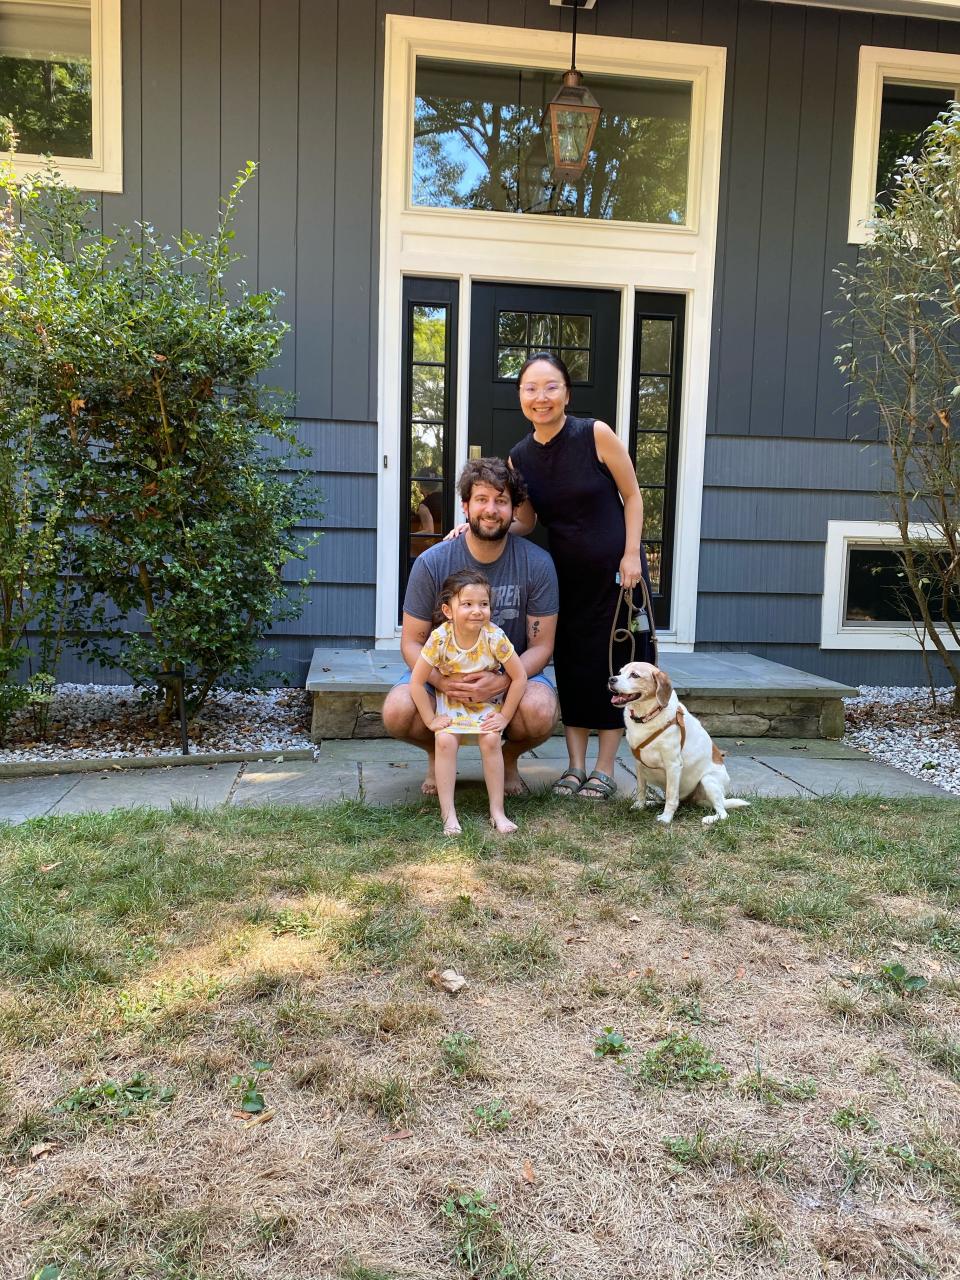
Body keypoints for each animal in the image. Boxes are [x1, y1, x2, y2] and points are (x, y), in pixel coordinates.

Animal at [609, 660, 752, 829]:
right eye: (620, 672)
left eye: (634, 675)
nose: (611, 679)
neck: (647, 716)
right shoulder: (638, 762)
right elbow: (641, 789)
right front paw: (640, 806)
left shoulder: (673, 765)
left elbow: (672, 797)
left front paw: (666, 818)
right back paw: (652, 803)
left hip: (708, 781)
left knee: (723, 813)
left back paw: (710, 818)